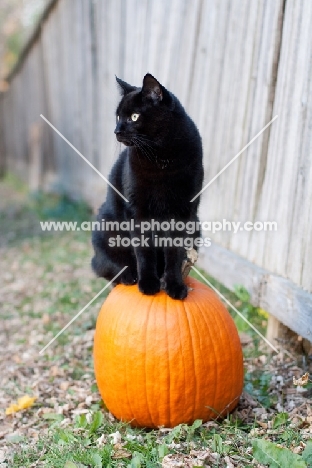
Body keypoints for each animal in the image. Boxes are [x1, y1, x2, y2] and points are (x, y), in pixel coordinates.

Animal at [91, 73, 202, 300]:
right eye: (118, 116)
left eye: (134, 117)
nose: (116, 130)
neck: (161, 157)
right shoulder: (137, 210)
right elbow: (144, 250)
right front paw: (149, 283)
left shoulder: (183, 212)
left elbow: (174, 253)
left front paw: (174, 285)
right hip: (105, 228)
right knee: (104, 267)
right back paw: (130, 276)